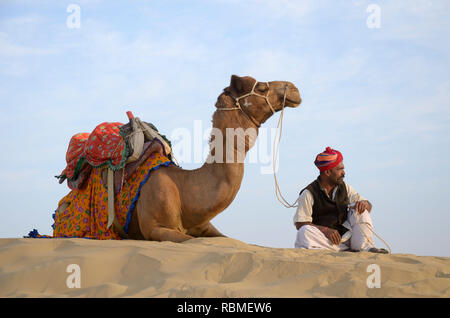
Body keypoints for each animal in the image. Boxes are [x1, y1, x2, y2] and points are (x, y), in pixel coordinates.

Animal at [126, 74, 302, 242]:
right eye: (261, 88)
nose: (294, 88)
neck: (183, 189)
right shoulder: (155, 228)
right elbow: (189, 240)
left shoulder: (205, 227)